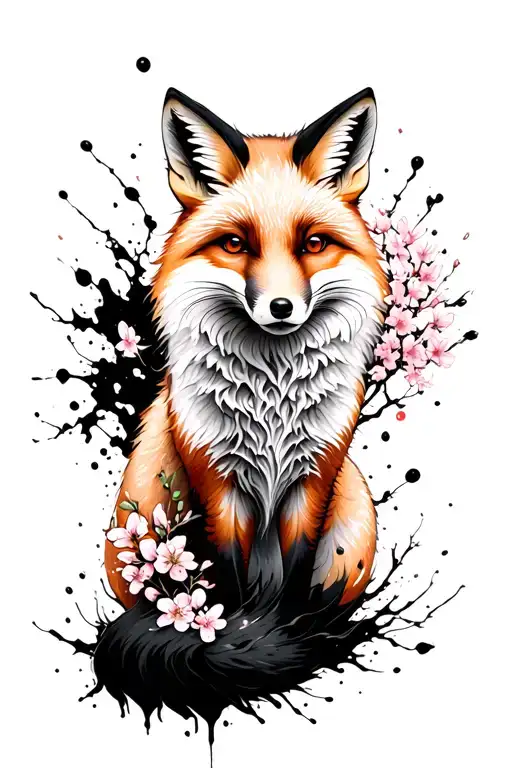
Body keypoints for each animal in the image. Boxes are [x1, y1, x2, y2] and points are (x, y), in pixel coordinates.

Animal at [105, 86, 388, 620]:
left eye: (313, 243)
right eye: (235, 244)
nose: (281, 307)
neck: (272, 394)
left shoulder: (314, 477)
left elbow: (295, 579)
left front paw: (281, 627)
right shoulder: (216, 481)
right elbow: (225, 582)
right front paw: (232, 629)